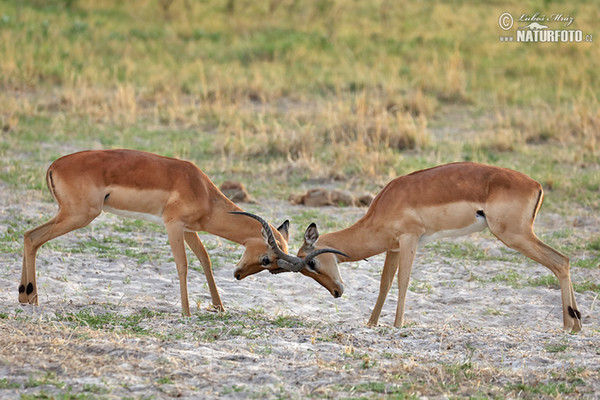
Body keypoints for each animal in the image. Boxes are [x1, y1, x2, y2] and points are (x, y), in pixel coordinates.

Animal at [19, 149, 342, 316]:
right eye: (267, 260)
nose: (238, 275)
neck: (203, 190)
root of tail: (53, 165)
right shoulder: (172, 224)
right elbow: (183, 265)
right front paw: (186, 312)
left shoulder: (188, 229)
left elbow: (205, 260)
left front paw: (219, 306)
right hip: (79, 215)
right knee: (32, 237)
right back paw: (30, 297)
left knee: (27, 236)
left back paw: (25, 296)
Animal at [292, 162, 580, 332]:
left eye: (312, 262)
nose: (337, 292)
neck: (385, 205)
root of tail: (536, 185)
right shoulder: (393, 248)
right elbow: (385, 283)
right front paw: (372, 323)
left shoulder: (409, 239)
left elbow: (403, 281)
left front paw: (398, 325)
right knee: (564, 261)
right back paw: (576, 324)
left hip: (515, 235)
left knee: (561, 261)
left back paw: (569, 326)